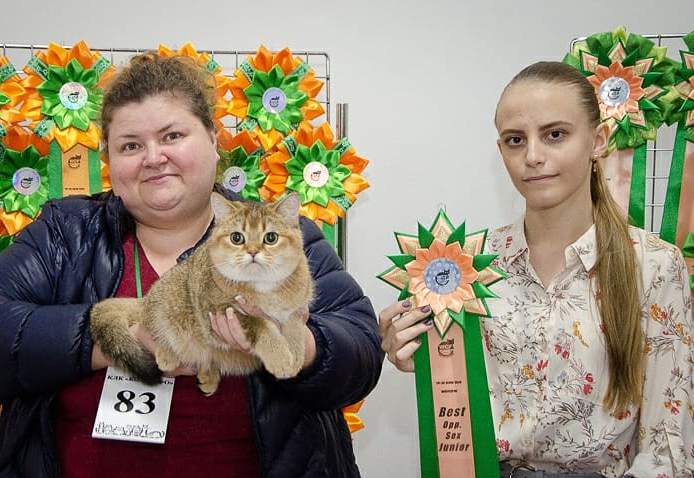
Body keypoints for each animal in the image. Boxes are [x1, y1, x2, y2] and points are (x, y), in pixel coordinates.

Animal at [90, 192, 314, 396]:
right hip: (169, 301)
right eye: (236, 238)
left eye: (271, 237)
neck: (262, 285)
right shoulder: (219, 310)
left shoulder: (296, 312)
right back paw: (166, 354)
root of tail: (145, 301)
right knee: (155, 327)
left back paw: (208, 376)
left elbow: (296, 332)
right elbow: (261, 324)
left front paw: (295, 358)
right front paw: (280, 357)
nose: (252, 252)